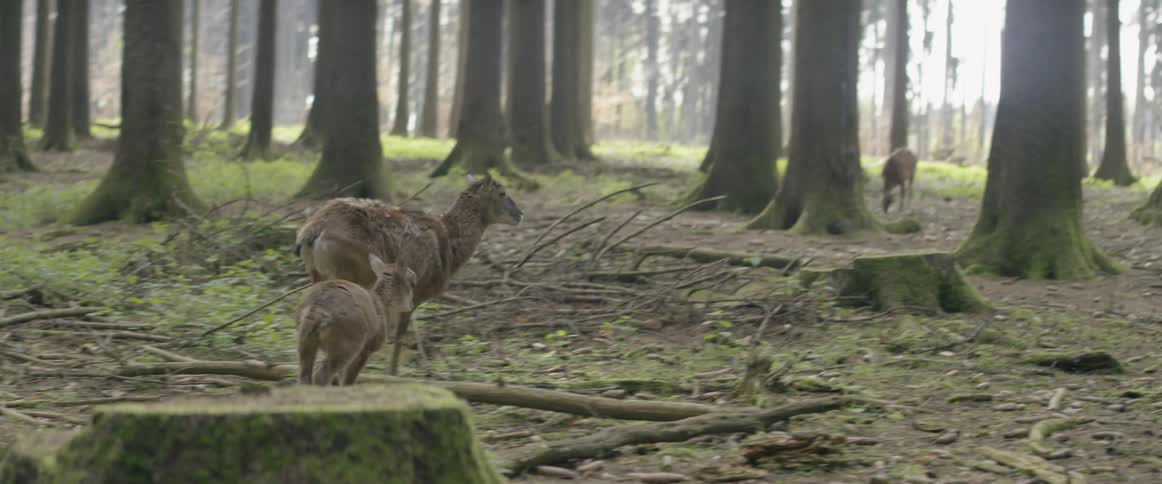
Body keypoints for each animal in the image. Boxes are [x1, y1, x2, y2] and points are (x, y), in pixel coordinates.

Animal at [296, 251, 417, 386]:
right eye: (413, 282)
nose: (411, 305)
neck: (384, 307)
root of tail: (317, 307)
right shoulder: (367, 348)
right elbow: (348, 379)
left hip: (305, 340)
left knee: (305, 375)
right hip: (347, 345)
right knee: (321, 376)